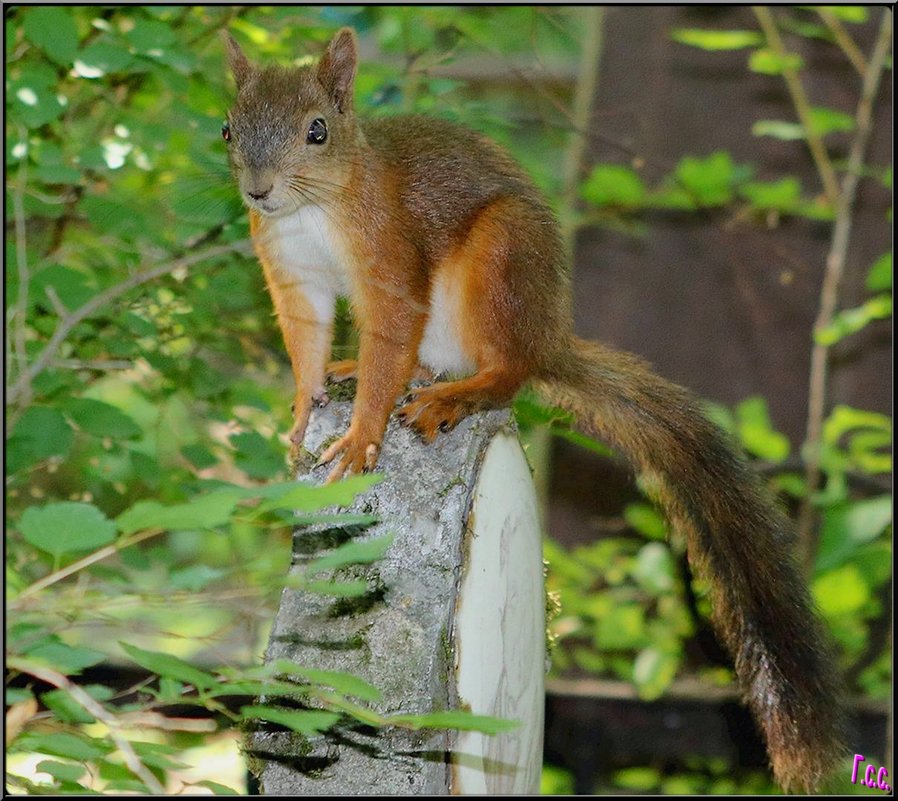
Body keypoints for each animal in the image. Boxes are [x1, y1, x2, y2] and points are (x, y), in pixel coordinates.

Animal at [224, 28, 848, 792]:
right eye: (228, 128)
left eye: (317, 130)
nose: (258, 189)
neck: (312, 211)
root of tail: (550, 334)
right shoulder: (294, 275)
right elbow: (306, 342)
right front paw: (302, 411)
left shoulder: (388, 256)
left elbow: (390, 334)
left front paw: (362, 435)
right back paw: (381, 373)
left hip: (502, 259)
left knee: (507, 373)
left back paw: (456, 393)